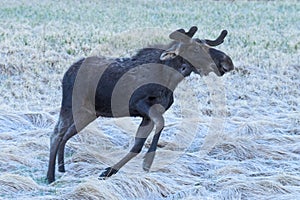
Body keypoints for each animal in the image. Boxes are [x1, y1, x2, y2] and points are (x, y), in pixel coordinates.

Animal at [47, 25, 234, 184]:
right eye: (195, 49)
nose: (228, 62)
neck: (171, 79)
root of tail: (66, 74)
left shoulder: (147, 115)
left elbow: (137, 145)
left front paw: (109, 171)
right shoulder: (140, 103)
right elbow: (160, 124)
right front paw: (148, 161)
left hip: (89, 113)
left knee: (66, 134)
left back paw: (62, 168)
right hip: (72, 107)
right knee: (56, 134)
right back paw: (50, 177)